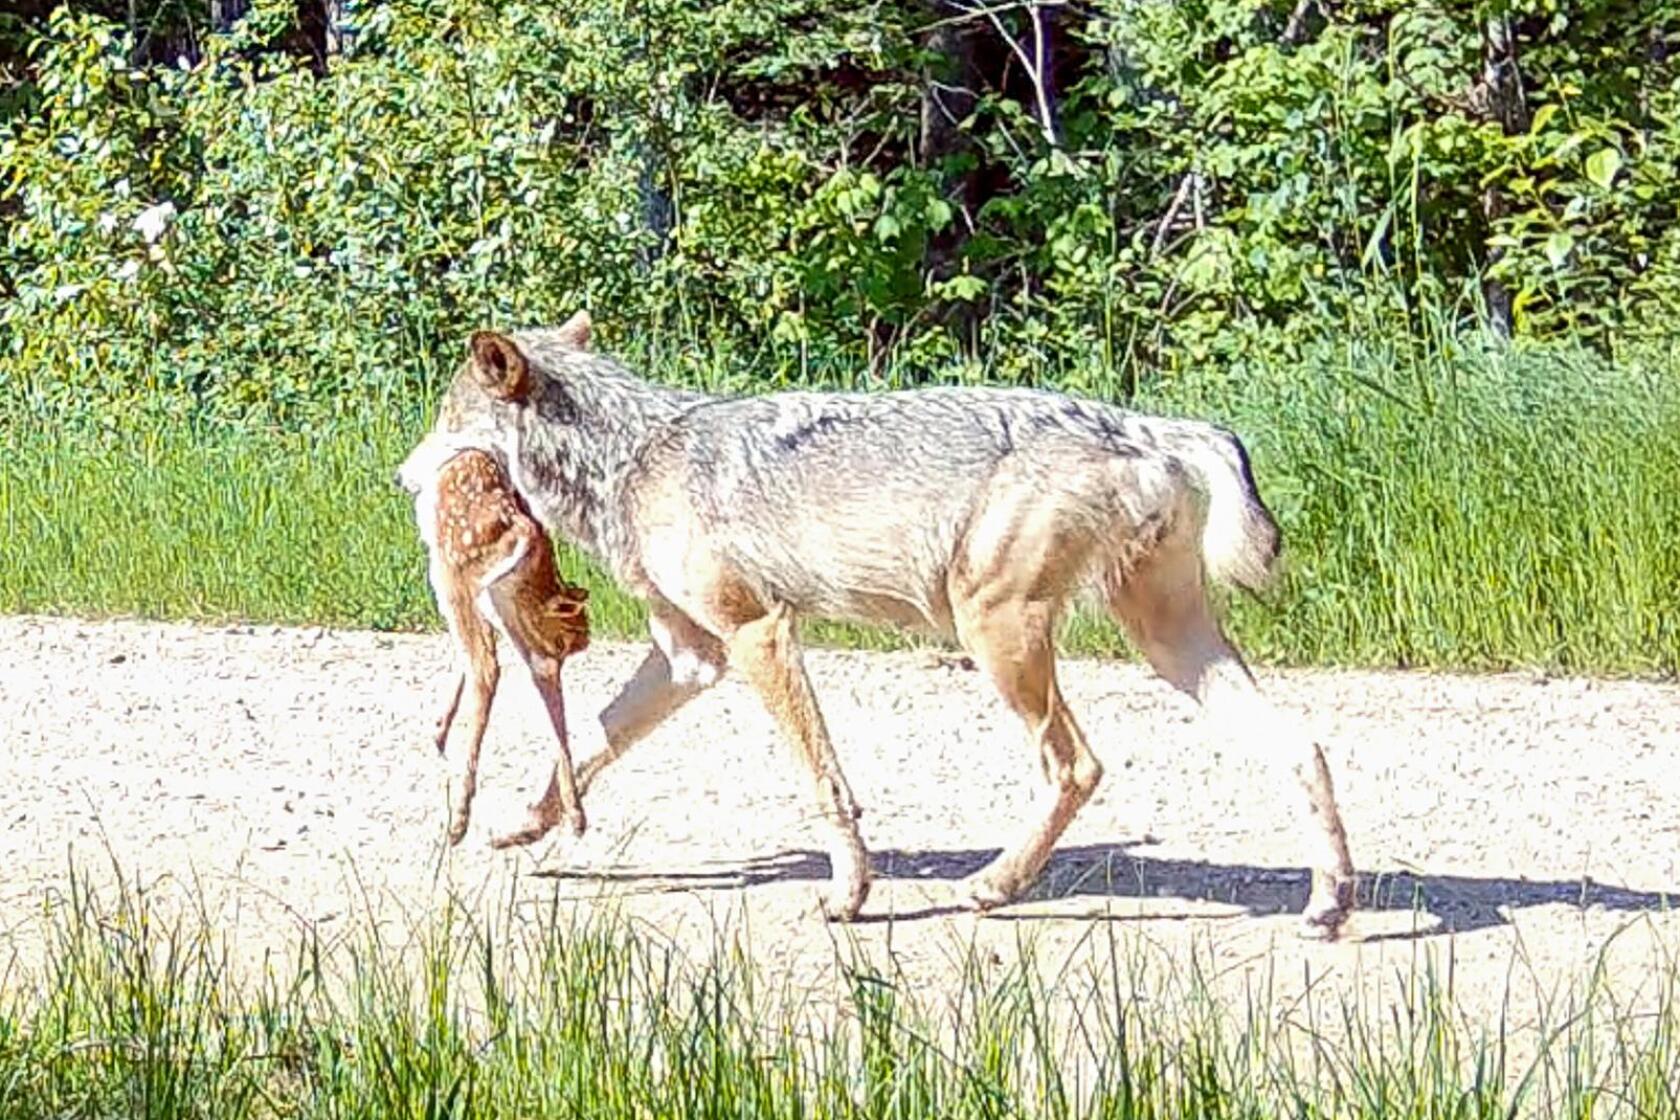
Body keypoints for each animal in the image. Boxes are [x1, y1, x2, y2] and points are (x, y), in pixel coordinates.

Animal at [398, 310, 1358, 939]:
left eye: (443, 424)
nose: (404, 476)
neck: (631, 457)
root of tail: (1142, 424)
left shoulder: (758, 635)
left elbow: (825, 782)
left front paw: (848, 896)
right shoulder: (690, 659)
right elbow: (593, 741)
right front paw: (523, 824)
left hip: (996, 633)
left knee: (1076, 763)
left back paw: (992, 886)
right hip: (1164, 642)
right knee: (1303, 743)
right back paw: (1328, 903)